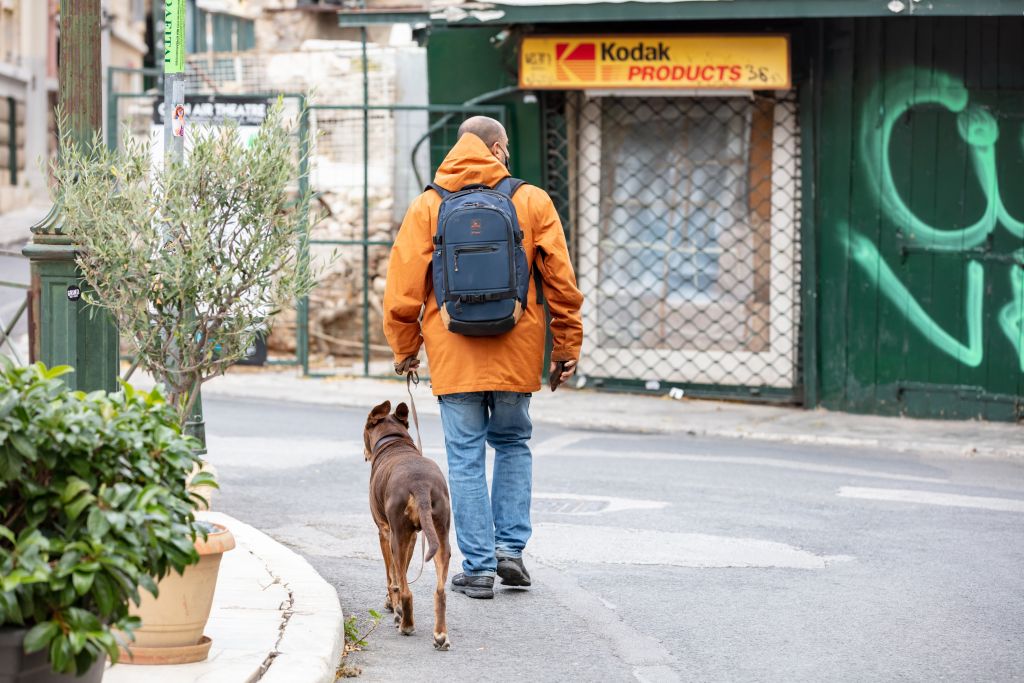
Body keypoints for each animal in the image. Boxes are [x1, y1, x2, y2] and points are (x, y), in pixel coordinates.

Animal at [364, 401, 452, 651]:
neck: (395, 442)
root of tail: (420, 485)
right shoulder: (412, 537)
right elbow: (399, 570)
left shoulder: (385, 532)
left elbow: (391, 575)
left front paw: (392, 606)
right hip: (440, 535)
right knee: (440, 591)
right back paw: (440, 635)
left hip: (397, 537)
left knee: (404, 589)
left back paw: (405, 623)